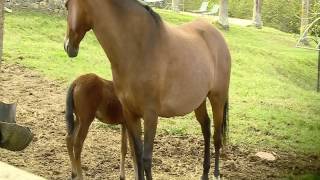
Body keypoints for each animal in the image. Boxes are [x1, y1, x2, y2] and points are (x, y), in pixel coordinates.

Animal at [63, 0, 231, 179]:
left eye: (66, 5)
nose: (68, 46)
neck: (140, 49)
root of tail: (218, 36)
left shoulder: (150, 115)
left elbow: (146, 158)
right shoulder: (130, 114)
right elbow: (136, 153)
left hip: (217, 98)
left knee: (217, 137)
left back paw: (216, 173)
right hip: (198, 101)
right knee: (206, 128)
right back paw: (205, 172)